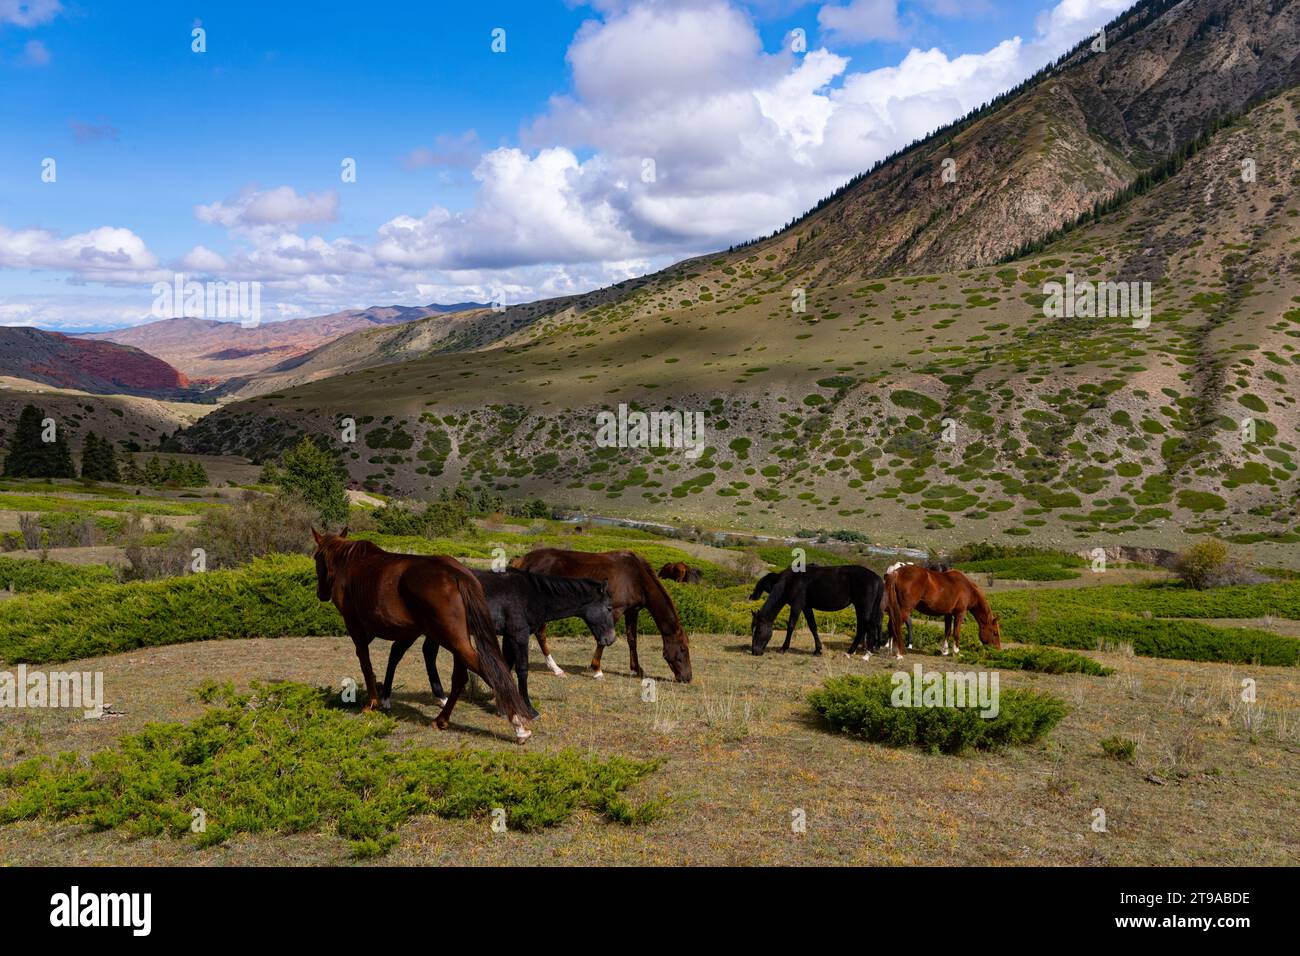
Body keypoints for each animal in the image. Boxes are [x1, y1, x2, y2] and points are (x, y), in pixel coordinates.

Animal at [312, 530, 530, 738]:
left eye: (316, 557)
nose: (321, 594)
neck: (350, 562)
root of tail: (456, 574)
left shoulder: (355, 625)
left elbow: (366, 663)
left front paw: (372, 702)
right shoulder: (407, 631)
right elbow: (392, 655)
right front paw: (384, 696)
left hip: (449, 637)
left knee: (487, 671)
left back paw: (517, 725)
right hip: (457, 640)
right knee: (461, 677)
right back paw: (443, 719)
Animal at [382, 567, 616, 717]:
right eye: (609, 608)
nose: (611, 639)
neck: (532, 594)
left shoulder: (509, 636)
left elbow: (507, 666)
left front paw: (503, 706)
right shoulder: (519, 634)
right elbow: (521, 669)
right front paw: (528, 709)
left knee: (428, 653)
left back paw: (441, 698)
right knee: (396, 652)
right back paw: (385, 700)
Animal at [509, 548, 696, 686]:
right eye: (683, 649)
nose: (687, 677)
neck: (636, 577)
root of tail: (524, 561)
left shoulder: (632, 611)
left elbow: (632, 640)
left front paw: (637, 669)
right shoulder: (615, 611)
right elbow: (603, 641)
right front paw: (597, 670)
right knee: (539, 634)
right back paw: (556, 669)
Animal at [754, 564, 883, 660]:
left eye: (759, 631)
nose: (755, 652)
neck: (791, 581)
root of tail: (877, 578)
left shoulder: (797, 606)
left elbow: (791, 626)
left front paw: (783, 648)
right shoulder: (806, 607)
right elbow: (813, 626)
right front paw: (817, 650)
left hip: (863, 607)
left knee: (867, 627)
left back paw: (863, 654)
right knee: (866, 626)